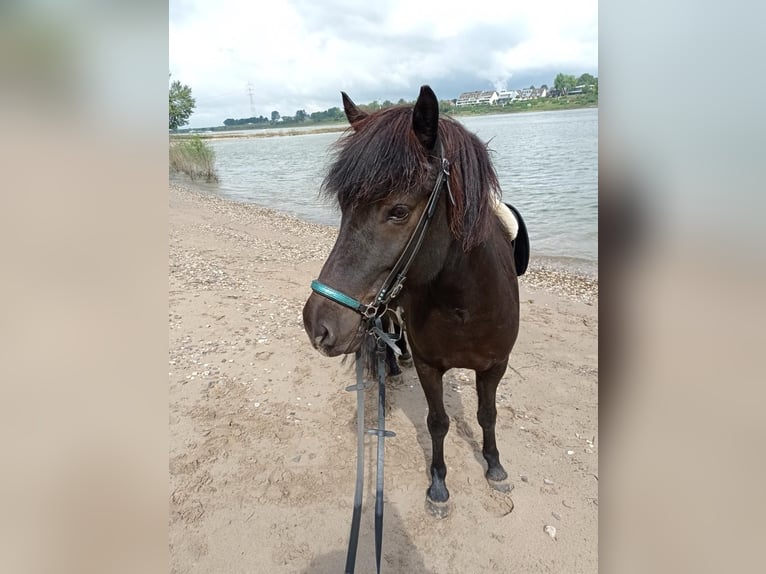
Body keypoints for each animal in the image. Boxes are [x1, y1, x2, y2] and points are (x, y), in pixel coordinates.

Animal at [304, 86, 532, 520]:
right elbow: (437, 422)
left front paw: (494, 466)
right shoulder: (431, 367)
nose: (317, 324)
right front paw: (439, 484)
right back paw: (393, 364)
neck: (464, 307)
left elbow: (487, 415)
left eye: (399, 210)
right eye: (344, 206)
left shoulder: (496, 365)